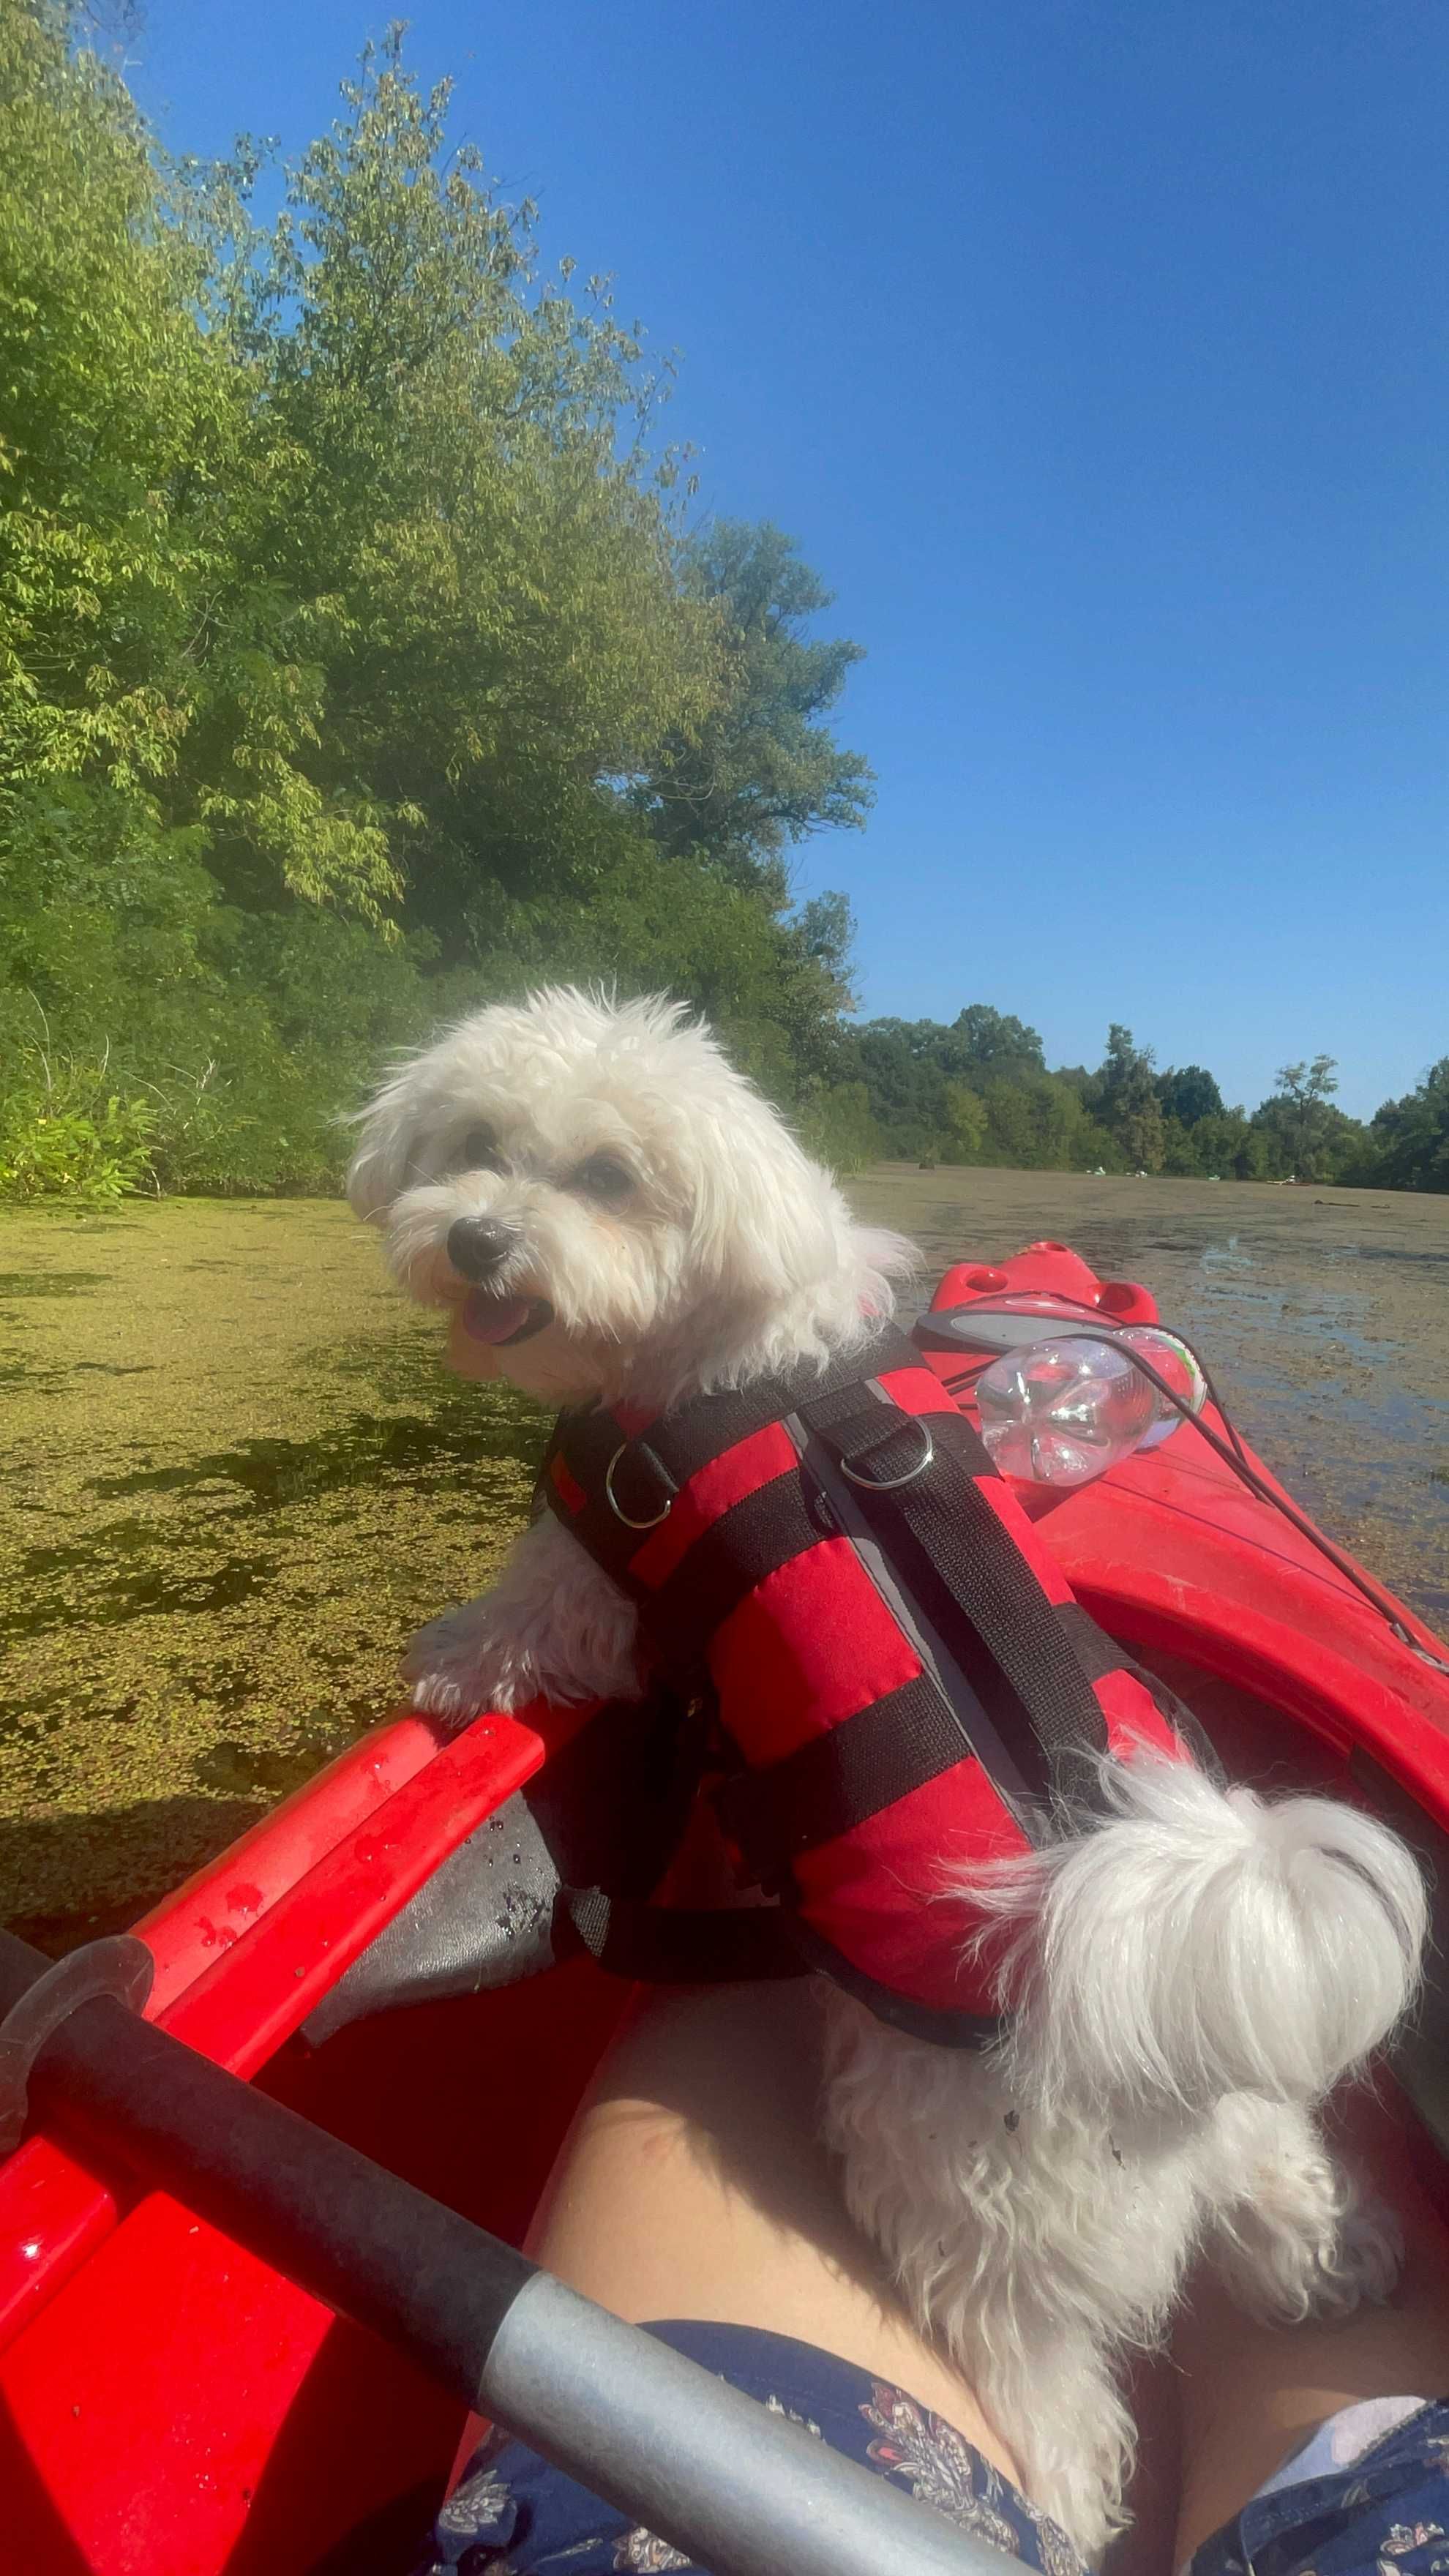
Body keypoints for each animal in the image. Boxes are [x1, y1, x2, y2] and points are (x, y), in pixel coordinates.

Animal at [351, 989, 1423, 2555]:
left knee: (1056, 2395)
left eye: (608, 1176)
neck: (742, 1345)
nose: (481, 1239)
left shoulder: (588, 1560)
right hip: (1242, 2083)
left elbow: (526, 1623)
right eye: (478, 1144)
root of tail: (1127, 1986)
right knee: (1279, 2179)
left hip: (961, 2201)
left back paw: (1067, 2497)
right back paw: (1339, 2261)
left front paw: (445, 1660)